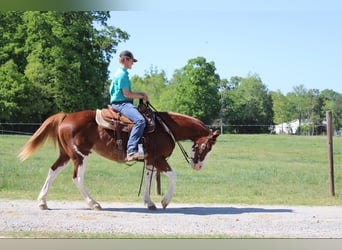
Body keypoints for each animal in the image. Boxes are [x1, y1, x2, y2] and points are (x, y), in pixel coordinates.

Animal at [18, 106, 219, 210]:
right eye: (207, 146)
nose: (198, 166)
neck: (165, 127)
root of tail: (65, 116)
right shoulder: (159, 158)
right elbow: (172, 176)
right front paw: (164, 201)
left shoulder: (150, 160)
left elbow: (148, 179)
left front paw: (149, 202)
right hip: (80, 155)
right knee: (77, 178)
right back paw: (94, 203)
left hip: (66, 154)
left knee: (52, 171)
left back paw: (42, 201)